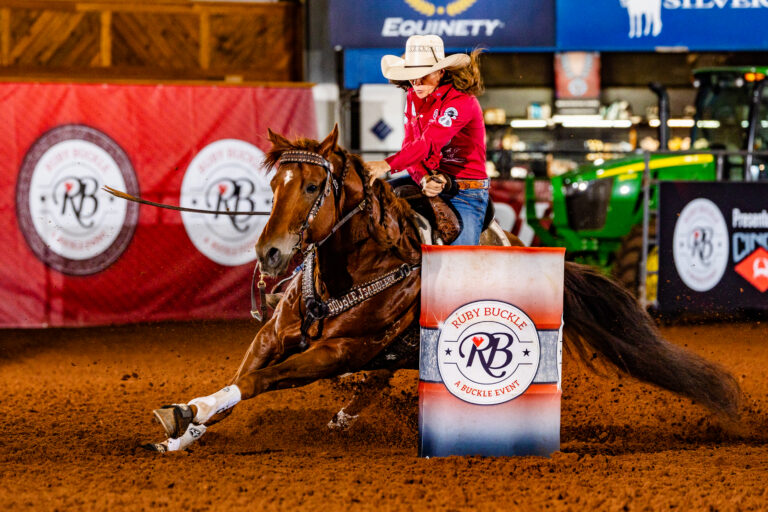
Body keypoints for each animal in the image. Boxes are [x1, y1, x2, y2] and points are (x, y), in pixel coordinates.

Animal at [144, 126, 741, 452]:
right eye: (273, 184)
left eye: (314, 186)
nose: (269, 253)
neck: (356, 266)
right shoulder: (276, 333)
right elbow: (244, 374)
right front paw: (185, 425)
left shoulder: (339, 351)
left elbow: (260, 380)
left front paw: (188, 416)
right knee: (374, 383)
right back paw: (344, 417)